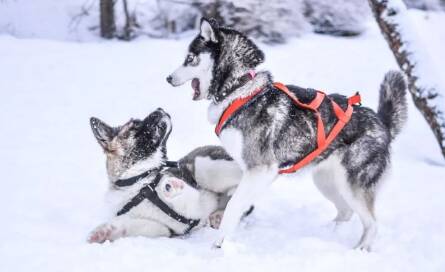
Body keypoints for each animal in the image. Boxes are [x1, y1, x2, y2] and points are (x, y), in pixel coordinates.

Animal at [87, 108, 243, 242]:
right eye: (135, 126)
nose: (160, 109)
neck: (138, 181)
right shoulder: (160, 227)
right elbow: (128, 225)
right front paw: (103, 232)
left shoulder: (194, 201)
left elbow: (184, 194)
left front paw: (171, 186)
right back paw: (218, 216)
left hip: (204, 166)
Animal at [166, 17, 406, 251]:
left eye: (189, 58)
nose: (168, 78)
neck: (239, 90)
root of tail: (382, 123)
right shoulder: (256, 174)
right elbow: (238, 202)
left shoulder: (260, 169)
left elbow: (233, 205)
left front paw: (219, 244)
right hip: (326, 181)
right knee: (345, 212)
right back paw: (326, 233)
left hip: (352, 185)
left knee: (372, 223)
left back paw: (360, 249)